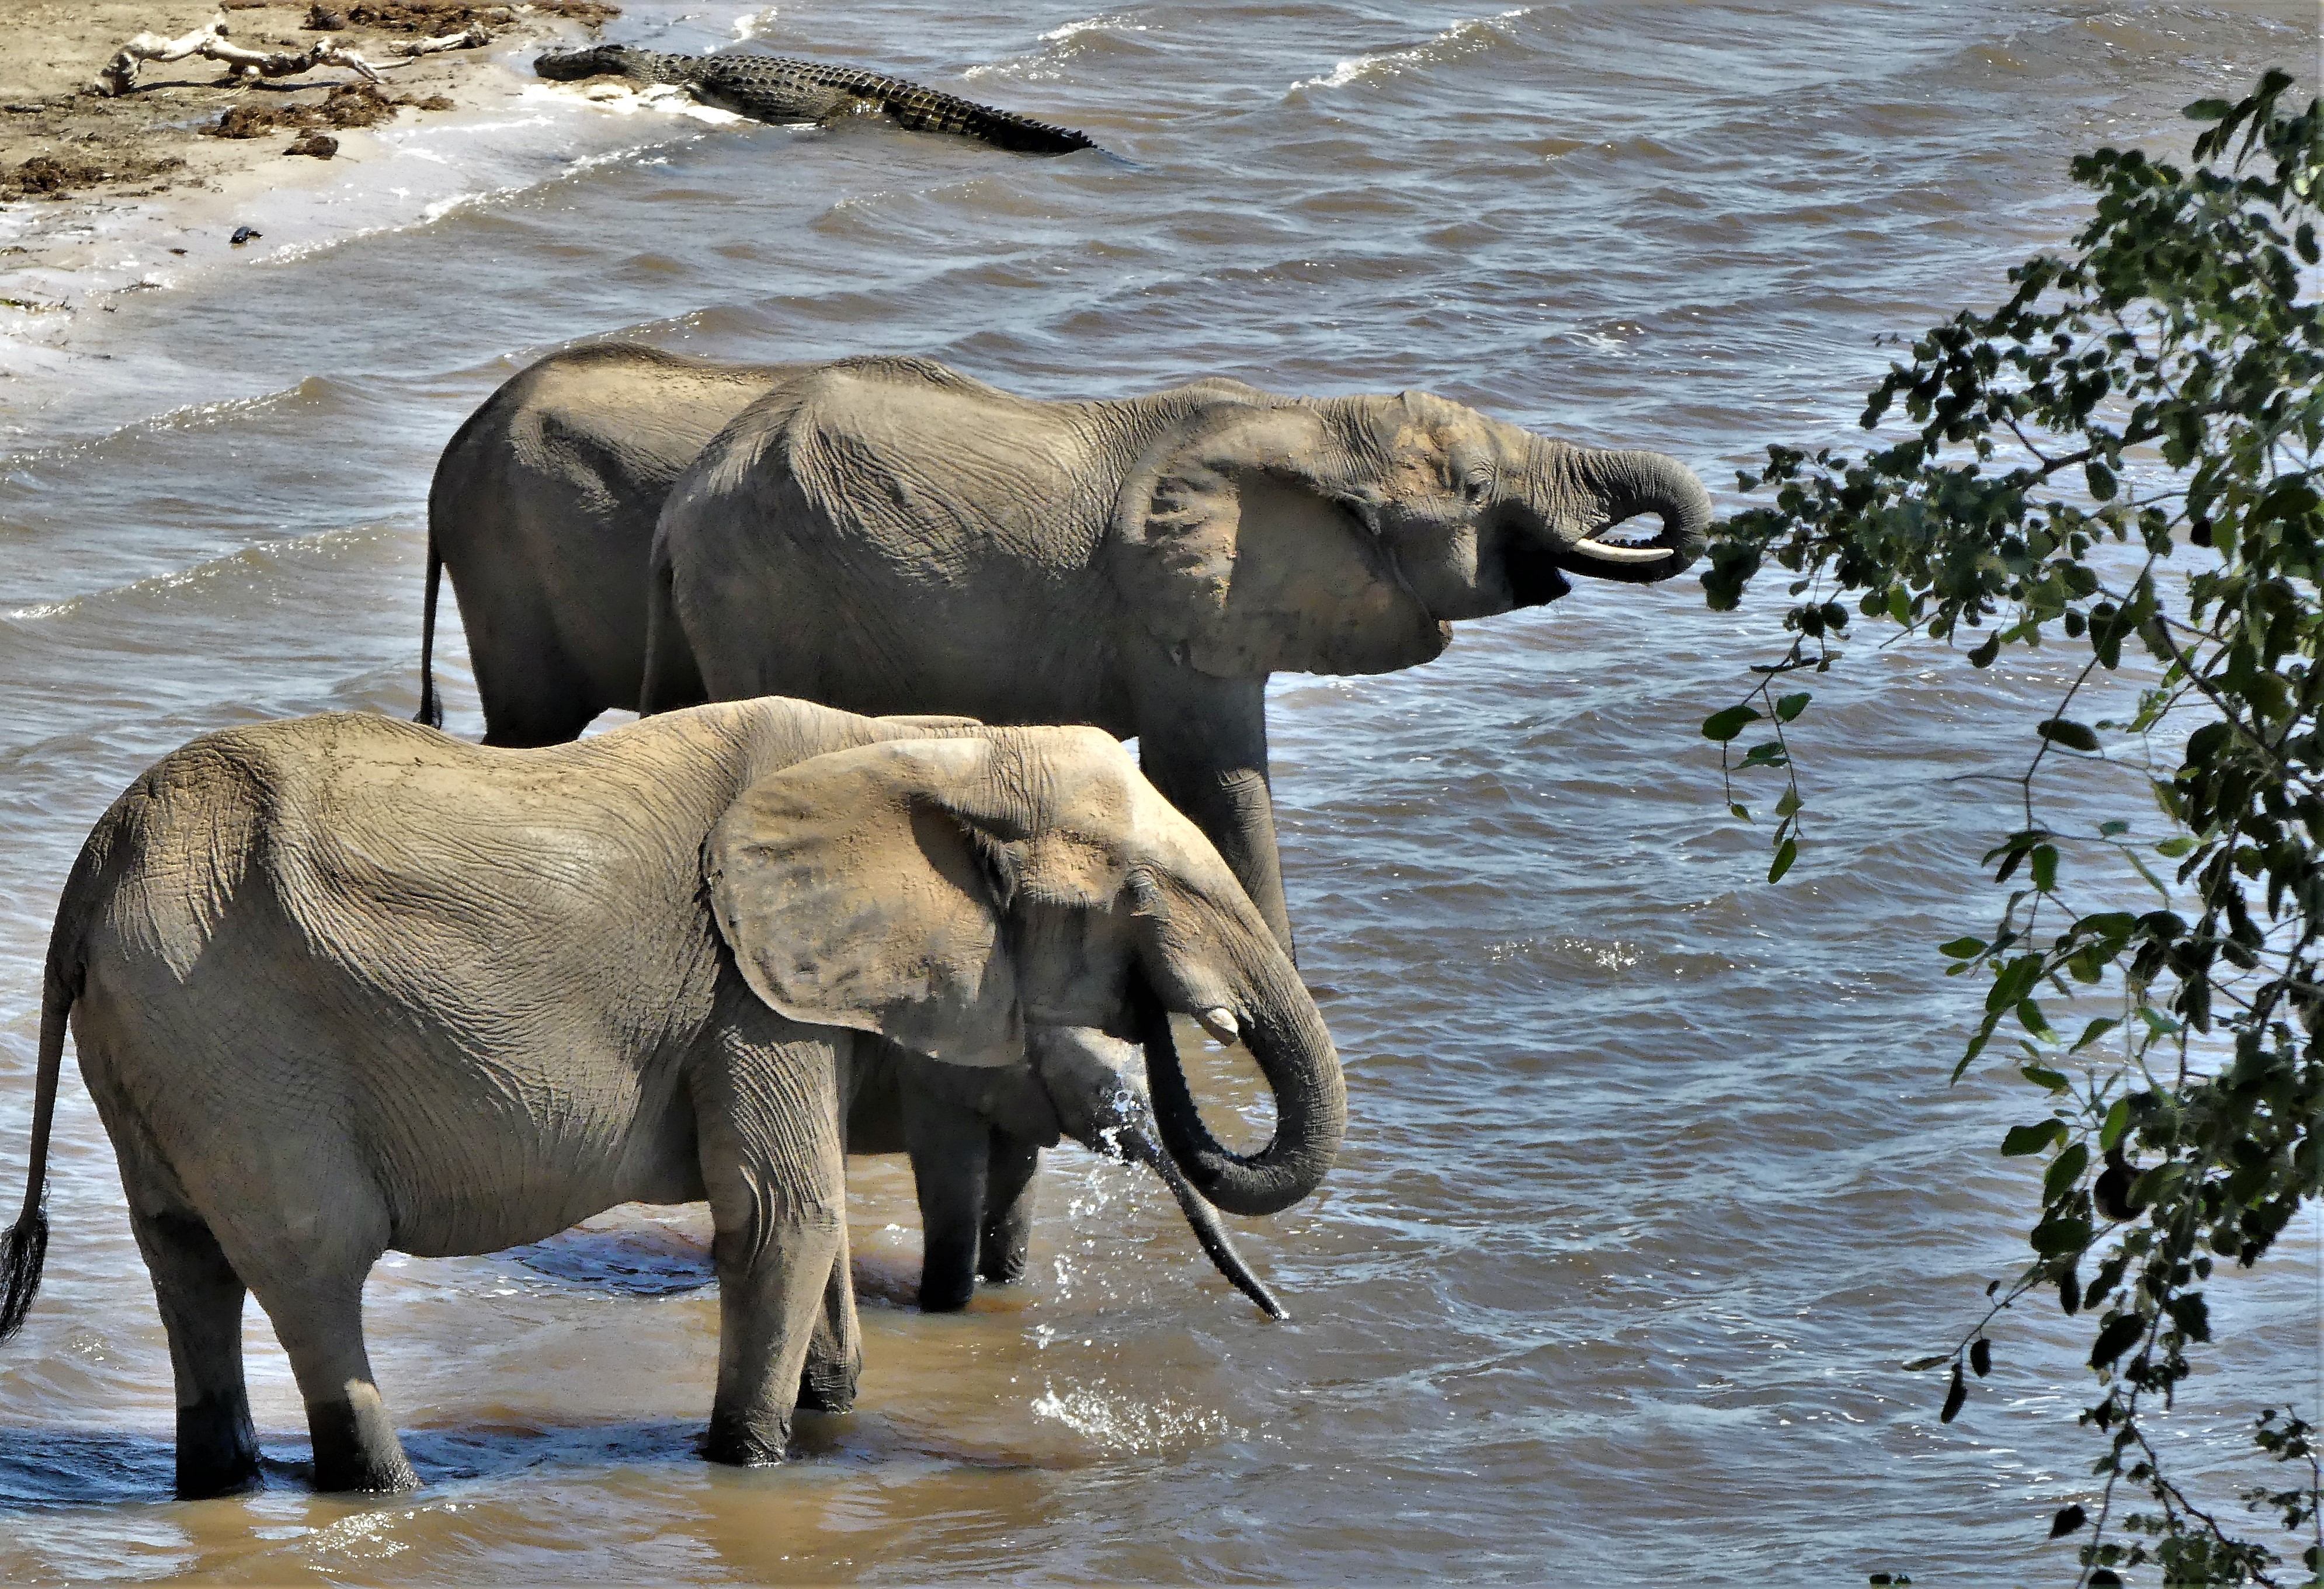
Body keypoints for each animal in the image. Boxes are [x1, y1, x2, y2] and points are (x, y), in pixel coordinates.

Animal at [0, 699, 1340, 1495]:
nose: (1171, 1025)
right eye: (1139, 891)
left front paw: (822, 1413)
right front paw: (748, 1467)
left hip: (162, 1045)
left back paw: (226, 1487)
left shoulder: (782, 986)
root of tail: (89, 874)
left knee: (188, 1263)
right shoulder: (749, 989)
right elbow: (783, 1216)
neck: (916, 745)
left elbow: (807, 1211)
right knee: (309, 1263)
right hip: (230, 1032)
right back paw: (387, 1489)